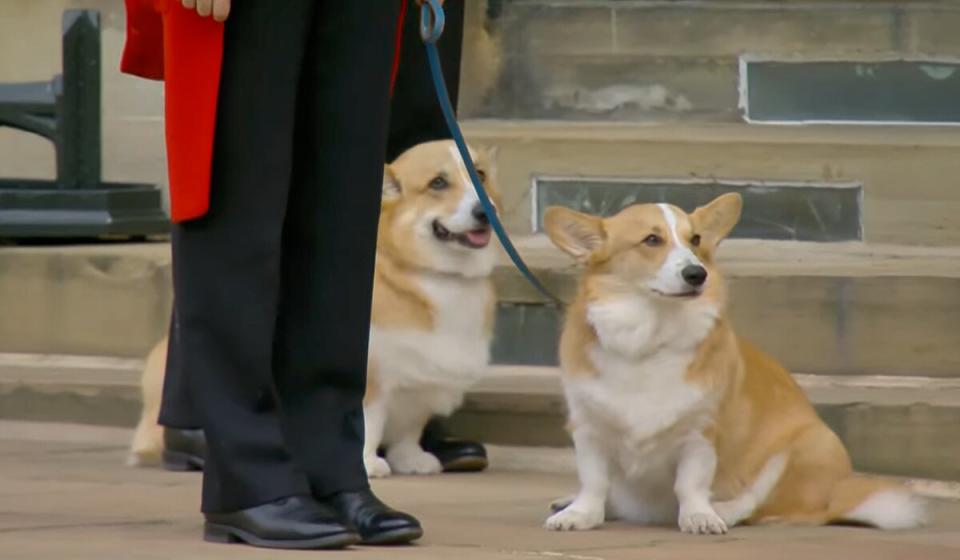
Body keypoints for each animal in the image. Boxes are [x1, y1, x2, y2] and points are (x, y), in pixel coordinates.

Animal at [129, 140, 502, 476]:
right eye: (438, 183)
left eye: (481, 174)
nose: (484, 212)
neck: (428, 273)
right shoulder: (372, 380)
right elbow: (369, 422)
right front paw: (366, 464)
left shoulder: (421, 380)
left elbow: (409, 431)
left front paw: (412, 459)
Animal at [540, 196, 924, 532]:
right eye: (651, 240)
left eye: (695, 240)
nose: (698, 274)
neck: (650, 338)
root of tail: (836, 496)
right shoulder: (588, 428)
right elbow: (594, 481)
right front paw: (582, 513)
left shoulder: (701, 433)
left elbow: (691, 484)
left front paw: (699, 516)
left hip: (808, 443)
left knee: (760, 504)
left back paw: (722, 509)